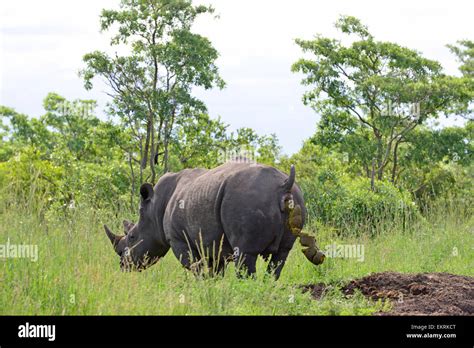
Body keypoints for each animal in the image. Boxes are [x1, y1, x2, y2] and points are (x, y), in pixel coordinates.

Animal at [105, 162, 324, 278]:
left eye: (132, 237)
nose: (123, 266)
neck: (154, 208)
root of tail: (284, 186)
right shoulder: (212, 241)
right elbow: (215, 269)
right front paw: (213, 286)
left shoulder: (178, 239)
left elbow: (194, 266)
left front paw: (202, 285)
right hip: (297, 197)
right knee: (281, 256)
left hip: (247, 200)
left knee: (245, 254)